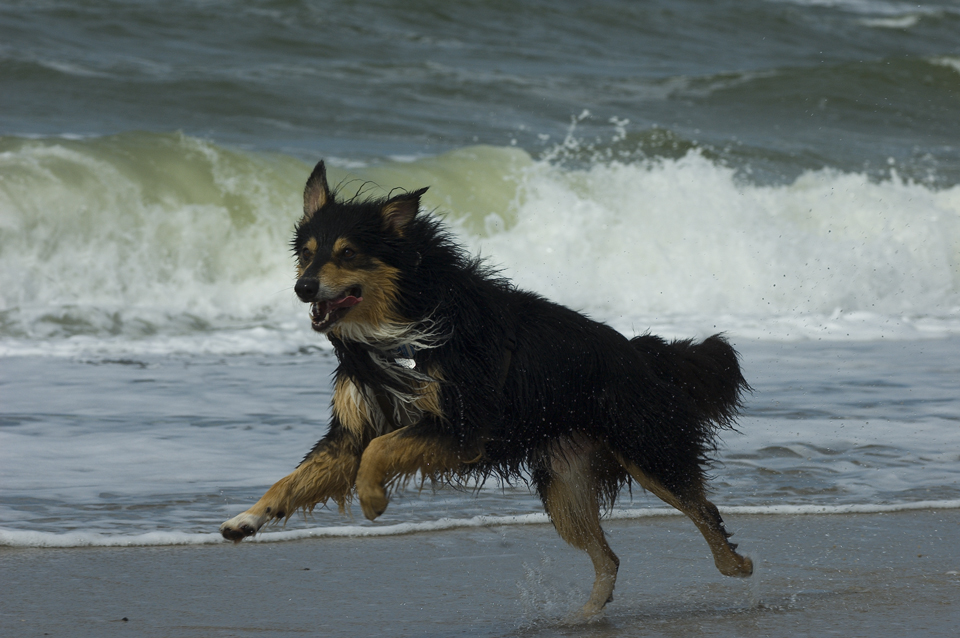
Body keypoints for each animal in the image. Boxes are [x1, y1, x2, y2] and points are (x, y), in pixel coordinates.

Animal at [221, 162, 752, 616]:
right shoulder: (351, 432)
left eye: (348, 253)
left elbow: (381, 449)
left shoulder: (462, 423)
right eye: (307, 254)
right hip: (565, 483)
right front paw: (245, 520)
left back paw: (736, 566)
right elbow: (292, 480)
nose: (304, 288)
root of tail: (642, 355)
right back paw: (585, 615)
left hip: (645, 447)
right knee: (609, 557)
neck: (402, 322)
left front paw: (373, 499)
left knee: (701, 508)